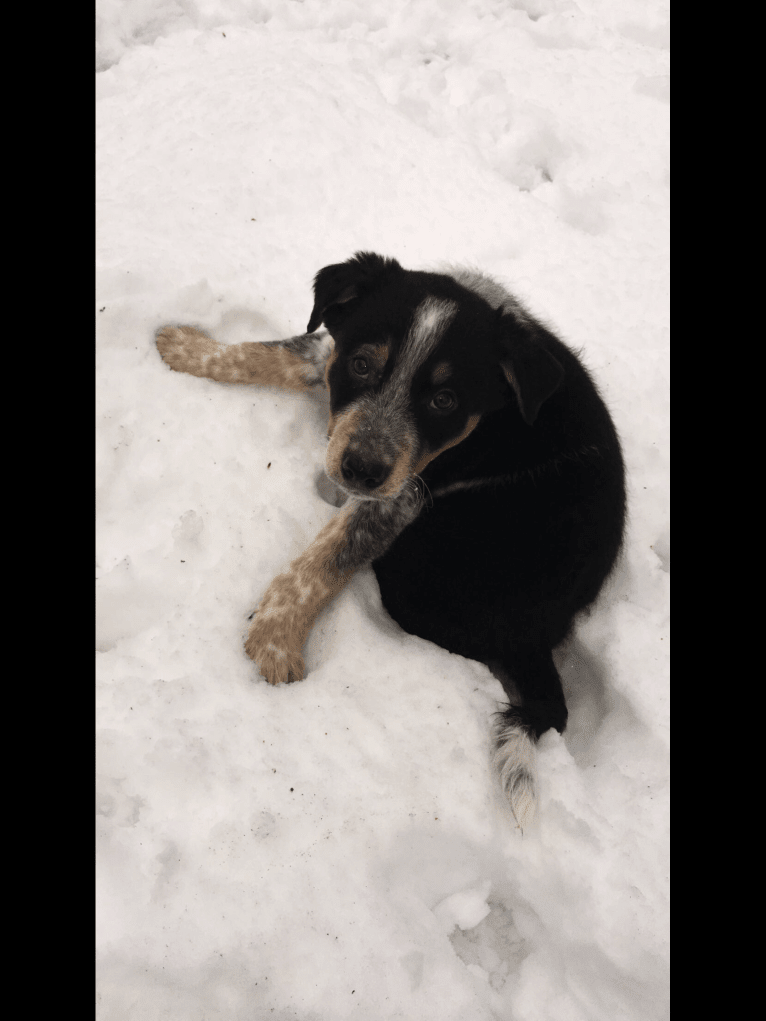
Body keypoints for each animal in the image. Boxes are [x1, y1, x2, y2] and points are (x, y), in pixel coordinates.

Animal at [154, 249, 625, 829]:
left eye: (445, 399)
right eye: (363, 365)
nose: (359, 469)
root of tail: (541, 641)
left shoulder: (402, 495)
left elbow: (324, 559)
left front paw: (275, 639)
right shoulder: (336, 353)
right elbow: (284, 351)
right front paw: (186, 346)